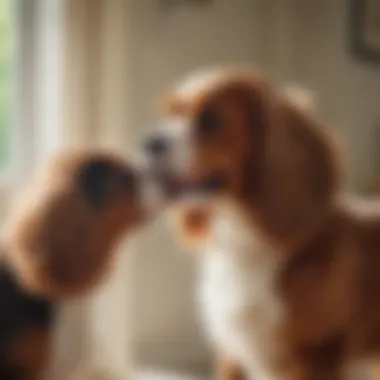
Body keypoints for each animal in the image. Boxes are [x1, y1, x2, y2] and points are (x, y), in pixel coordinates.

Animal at [142, 69, 380, 380]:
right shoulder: (232, 353)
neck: (247, 241)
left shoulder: (318, 356)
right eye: (172, 113)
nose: (148, 142)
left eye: (211, 120)